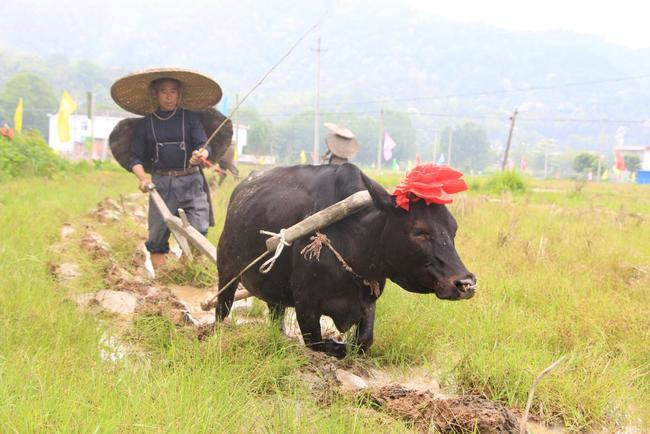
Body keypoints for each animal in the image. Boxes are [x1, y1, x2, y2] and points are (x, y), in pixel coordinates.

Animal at [215, 163, 474, 356]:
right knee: (222, 310)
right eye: (420, 231)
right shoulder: (306, 305)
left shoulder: (368, 302)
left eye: (453, 229)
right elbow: (323, 344)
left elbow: (363, 342)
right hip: (226, 274)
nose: (466, 284)